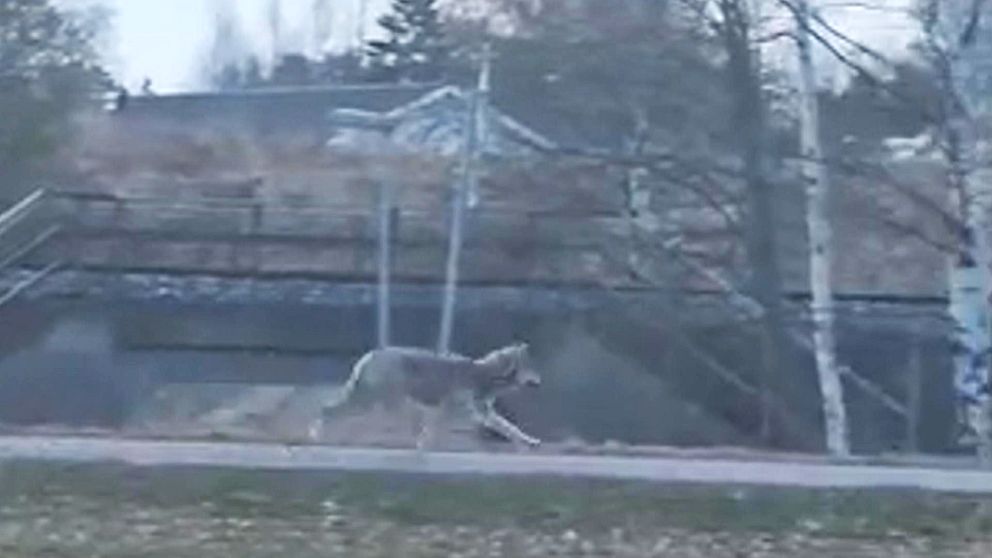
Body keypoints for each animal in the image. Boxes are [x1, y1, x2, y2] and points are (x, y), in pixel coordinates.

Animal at [314, 344, 544, 452]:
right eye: (531, 369)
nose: (541, 382)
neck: (486, 375)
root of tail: (369, 355)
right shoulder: (452, 411)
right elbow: (433, 433)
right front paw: (427, 447)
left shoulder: (483, 414)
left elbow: (511, 428)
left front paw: (529, 442)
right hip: (377, 402)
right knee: (329, 411)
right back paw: (320, 436)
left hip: (378, 403)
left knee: (333, 412)